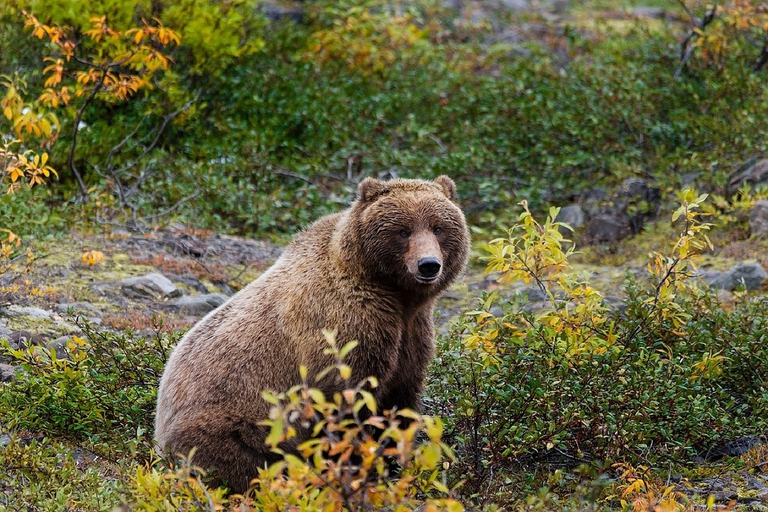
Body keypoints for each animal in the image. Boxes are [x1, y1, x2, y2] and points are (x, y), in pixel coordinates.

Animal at [154, 175, 470, 493]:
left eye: (438, 227)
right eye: (403, 230)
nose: (428, 264)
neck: (393, 294)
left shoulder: (411, 333)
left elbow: (400, 402)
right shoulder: (345, 326)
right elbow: (346, 402)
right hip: (233, 423)